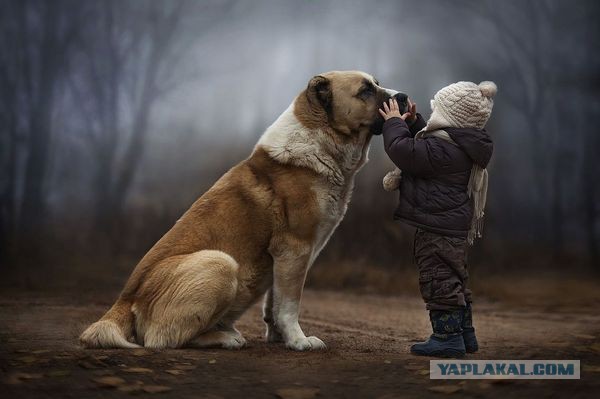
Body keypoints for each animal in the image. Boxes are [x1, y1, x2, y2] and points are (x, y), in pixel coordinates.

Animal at [78, 70, 398, 352]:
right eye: (365, 91)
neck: (320, 141)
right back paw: (226, 338)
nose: (403, 97)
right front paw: (299, 341)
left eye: (376, 84)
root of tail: (124, 300)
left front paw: (279, 337)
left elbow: (274, 302)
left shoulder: (284, 258)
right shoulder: (294, 249)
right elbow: (289, 304)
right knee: (163, 339)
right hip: (220, 263)